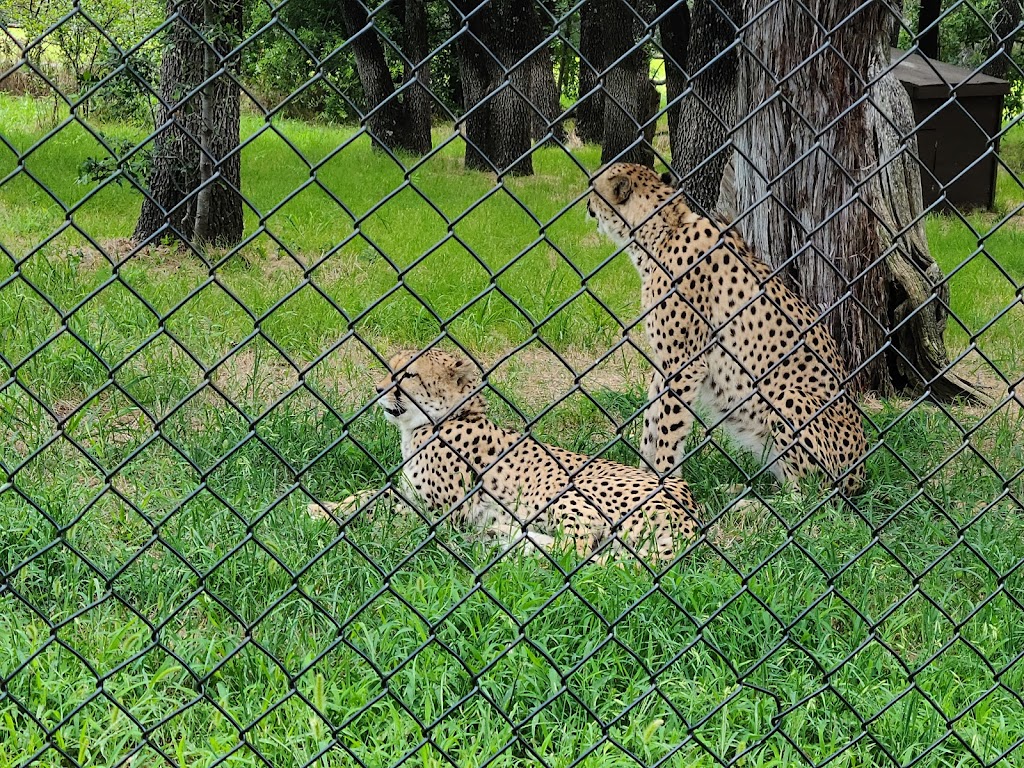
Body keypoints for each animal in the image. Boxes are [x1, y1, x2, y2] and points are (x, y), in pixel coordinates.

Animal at [372, 348, 700, 561]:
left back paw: (508, 544)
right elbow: (373, 495)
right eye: (390, 368)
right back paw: (501, 534)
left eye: (409, 374)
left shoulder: (443, 512)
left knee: (576, 552)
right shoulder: (411, 493)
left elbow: (392, 513)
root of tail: (691, 508)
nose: (377, 389)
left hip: (569, 491)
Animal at [589, 165, 868, 495]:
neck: (662, 233)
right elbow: (651, 420)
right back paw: (734, 489)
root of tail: (860, 474)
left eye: (594, 188)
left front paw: (665, 481)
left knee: (805, 495)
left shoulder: (684, 363)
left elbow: (670, 427)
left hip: (789, 399)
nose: (586, 203)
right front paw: (644, 475)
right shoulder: (664, 363)